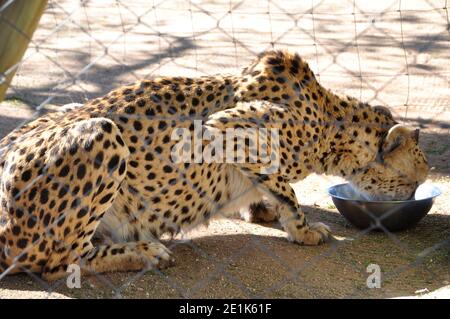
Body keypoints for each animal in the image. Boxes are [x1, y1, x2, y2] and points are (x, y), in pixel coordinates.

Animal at [0, 50, 428, 282]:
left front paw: (261, 209)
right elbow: (286, 189)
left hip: (71, 107)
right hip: (102, 133)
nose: (410, 199)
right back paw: (143, 252)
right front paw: (303, 229)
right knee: (58, 264)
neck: (330, 122)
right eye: (411, 182)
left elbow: (271, 189)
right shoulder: (227, 128)